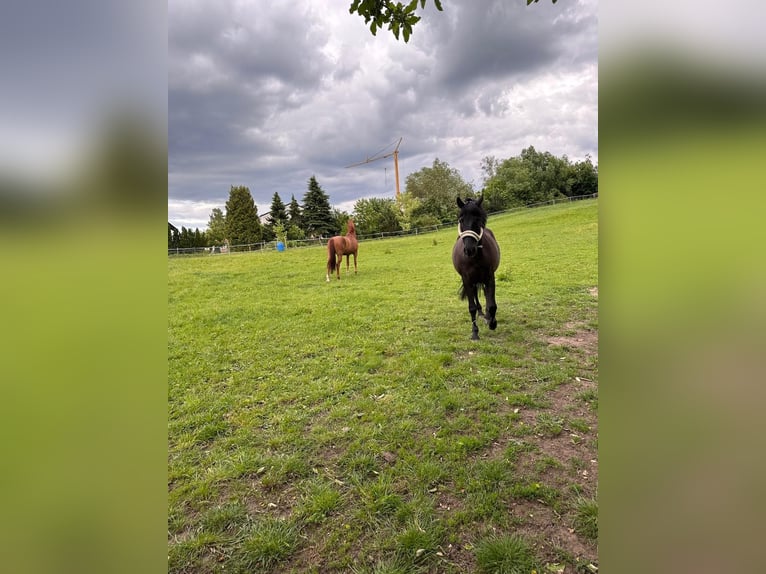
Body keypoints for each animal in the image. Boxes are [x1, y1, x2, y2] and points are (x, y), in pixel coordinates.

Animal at [450, 198, 504, 342]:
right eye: (461, 220)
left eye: (478, 220)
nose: (469, 250)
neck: (476, 257)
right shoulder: (467, 280)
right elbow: (471, 307)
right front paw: (475, 332)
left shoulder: (490, 277)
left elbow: (492, 304)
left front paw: (492, 323)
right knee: (475, 294)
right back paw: (481, 313)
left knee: (486, 294)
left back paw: (487, 316)